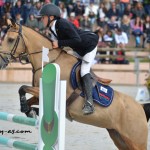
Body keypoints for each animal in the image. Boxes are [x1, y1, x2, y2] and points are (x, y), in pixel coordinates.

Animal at [0, 19, 149, 150]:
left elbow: (22, 88)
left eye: (10, 39)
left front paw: (29, 109)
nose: (1, 62)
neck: (49, 61)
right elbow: (26, 96)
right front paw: (30, 110)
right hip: (118, 137)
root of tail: (141, 107)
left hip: (136, 141)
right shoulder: (39, 93)